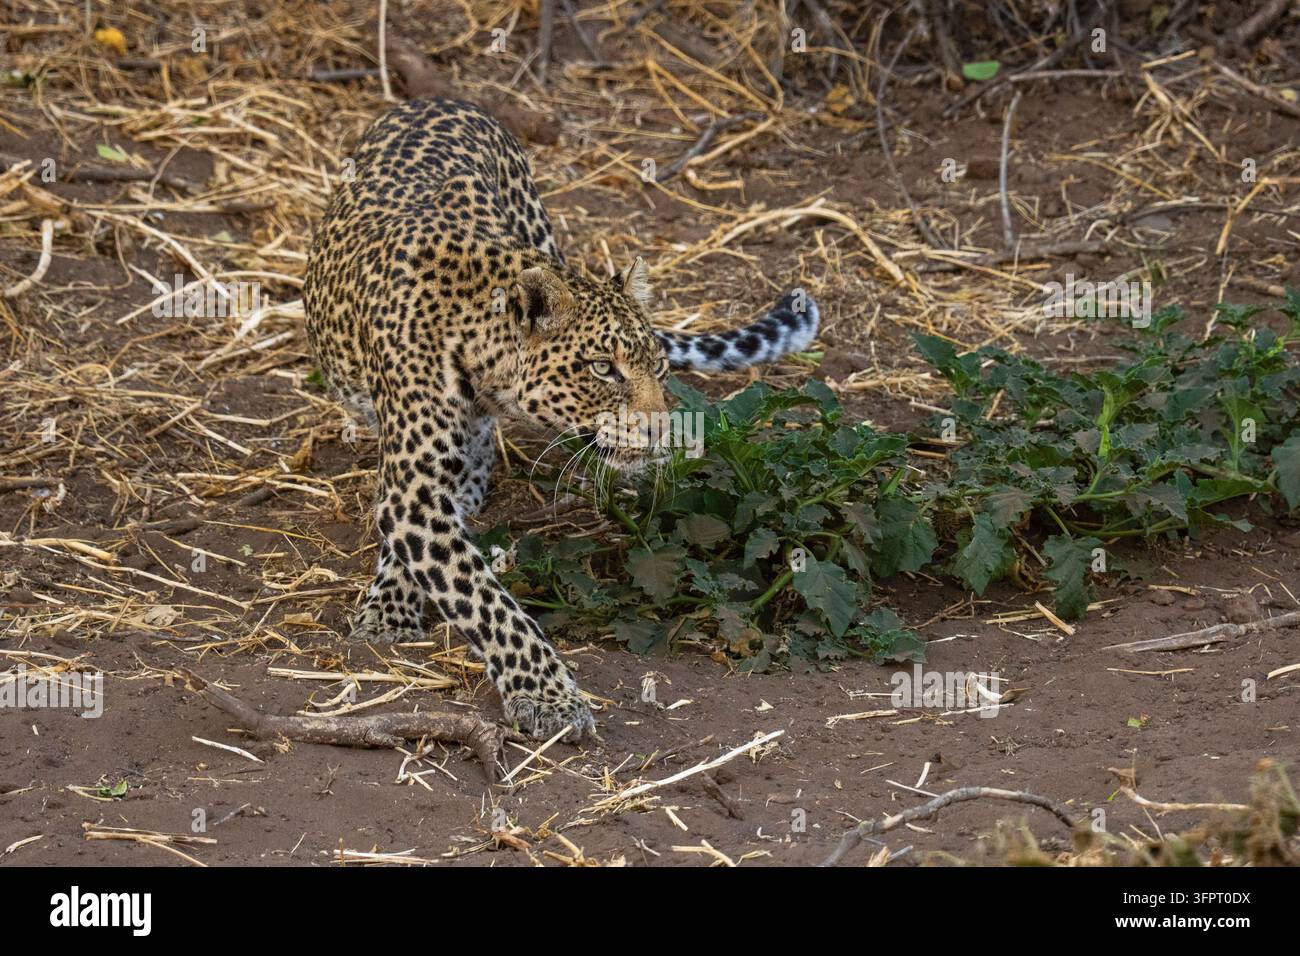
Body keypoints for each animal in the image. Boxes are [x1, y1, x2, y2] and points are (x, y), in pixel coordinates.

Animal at [304, 98, 819, 741]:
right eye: (602, 368)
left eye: (656, 366)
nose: (659, 432)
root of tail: (445, 100)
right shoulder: (412, 488)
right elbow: (485, 599)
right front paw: (548, 695)